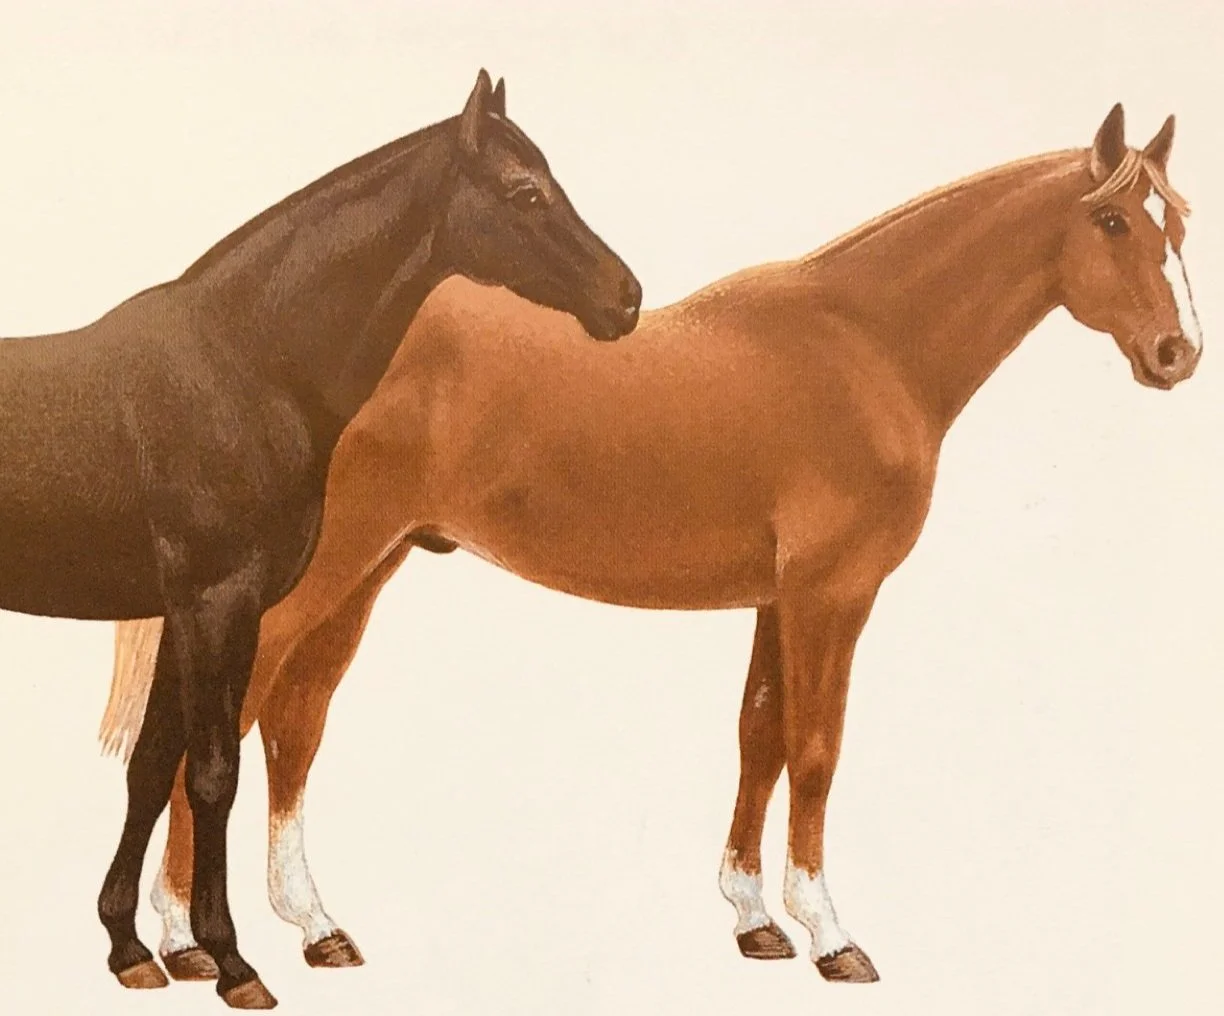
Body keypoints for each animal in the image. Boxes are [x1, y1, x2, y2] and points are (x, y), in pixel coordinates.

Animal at [0, 69, 641, 1010]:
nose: (625, 298)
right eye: (525, 192)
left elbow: (153, 766)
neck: (246, 364)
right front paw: (231, 961)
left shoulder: (189, 613)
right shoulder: (218, 606)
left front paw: (127, 948)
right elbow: (212, 774)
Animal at [102, 103, 1200, 990]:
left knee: (294, 722)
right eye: (1112, 221)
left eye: (1179, 225)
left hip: (370, 567)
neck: (867, 344)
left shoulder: (776, 598)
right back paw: (188, 940)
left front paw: (754, 919)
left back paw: (310, 927)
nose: (1178, 354)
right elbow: (816, 746)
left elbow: (760, 734)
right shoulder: (831, 594)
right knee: (234, 719)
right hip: (314, 576)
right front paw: (831, 934)